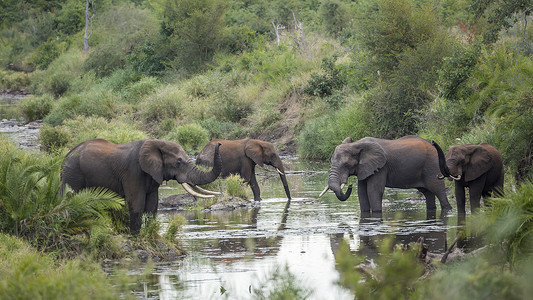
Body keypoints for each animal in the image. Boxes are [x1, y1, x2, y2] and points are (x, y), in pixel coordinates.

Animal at [60, 138, 222, 234]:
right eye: (178, 162)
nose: (219, 144)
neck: (157, 143)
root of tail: (66, 156)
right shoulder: (133, 172)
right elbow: (137, 204)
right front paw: (135, 238)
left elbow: (152, 206)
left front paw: (150, 234)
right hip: (72, 174)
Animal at [320, 136, 454, 216]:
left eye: (346, 165)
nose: (350, 186)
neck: (357, 144)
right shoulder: (364, 168)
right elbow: (362, 192)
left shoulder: (381, 167)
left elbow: (373, 191)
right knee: (428, 193)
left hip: (432, 165)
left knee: (438, 189)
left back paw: (448, 209)